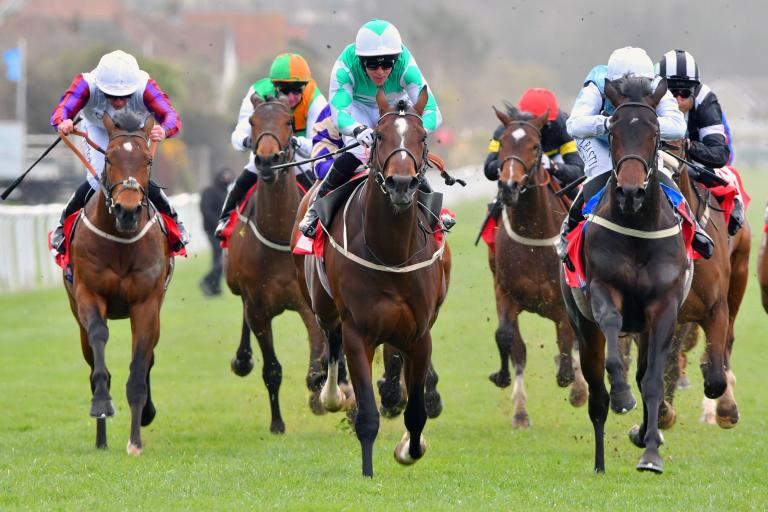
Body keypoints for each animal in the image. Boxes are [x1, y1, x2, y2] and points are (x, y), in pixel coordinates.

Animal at [64, 111, 170, 452]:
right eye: (109, 158)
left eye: (148, 159)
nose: (127, 210)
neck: (121, 241)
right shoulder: (88, 293)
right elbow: (99, 342)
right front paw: (101, 405)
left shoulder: (146, 304)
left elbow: (139, 368)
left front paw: (135, 439)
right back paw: (100, 438)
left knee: (149, 356)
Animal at [224, 95, 328, 432]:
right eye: (253, 122)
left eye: (287, 122)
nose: (267, 161)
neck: (279, 235)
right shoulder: (257, 307)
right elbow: (271, 368)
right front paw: (277, 423)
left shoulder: (307, 303)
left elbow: (316, 361)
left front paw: (319, 390)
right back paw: (242, 358)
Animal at [292, 87, 450, 476]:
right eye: (378, 136)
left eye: (422, 137)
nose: (401, 184)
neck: (390, 252)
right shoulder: (358, 332)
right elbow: (366, 415)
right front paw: (368, 471)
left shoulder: (419, 333)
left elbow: (416, 412)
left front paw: (409, 448)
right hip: (323, 306)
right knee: (330, 339)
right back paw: (332, 395)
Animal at [486, 105, 588, 428]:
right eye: (503, 144)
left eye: (535, 146)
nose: (509, 186)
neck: (533, 233)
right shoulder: (505, 291)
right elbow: (509, 340)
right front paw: (518, 407)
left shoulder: (561, 301)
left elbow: (568, 342)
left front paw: (574, 384)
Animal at [560, 77, 688, 476]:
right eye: (613, 132)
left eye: (654, 132)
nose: (631, 191)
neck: (636, 227)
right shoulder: (603, 291)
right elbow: (614, 356)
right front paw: (621, 395)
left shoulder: (664, 308)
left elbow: (652, 382)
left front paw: (651, 454)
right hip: (582, 325)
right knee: (596, 397)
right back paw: (600, 463)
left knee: (646, 373)